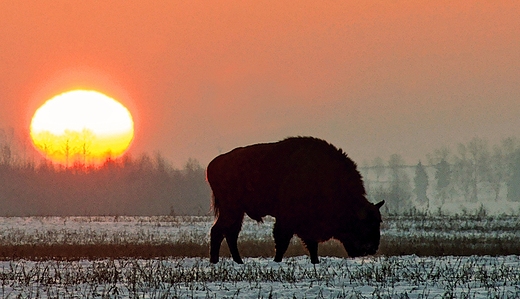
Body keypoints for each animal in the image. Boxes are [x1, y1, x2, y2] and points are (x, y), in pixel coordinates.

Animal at [206, 137, 382, 264]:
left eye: (378, 222)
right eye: (365, 225)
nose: (372, 248)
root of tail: (213, 164)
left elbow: (311, 245)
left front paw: (315, 261)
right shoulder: (286, 219)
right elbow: (282, 242)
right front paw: (277, 261)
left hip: (237, 212)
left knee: (230, 233)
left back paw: (238, 261)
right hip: (232, 209)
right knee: (218, 231)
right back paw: (216, 261)